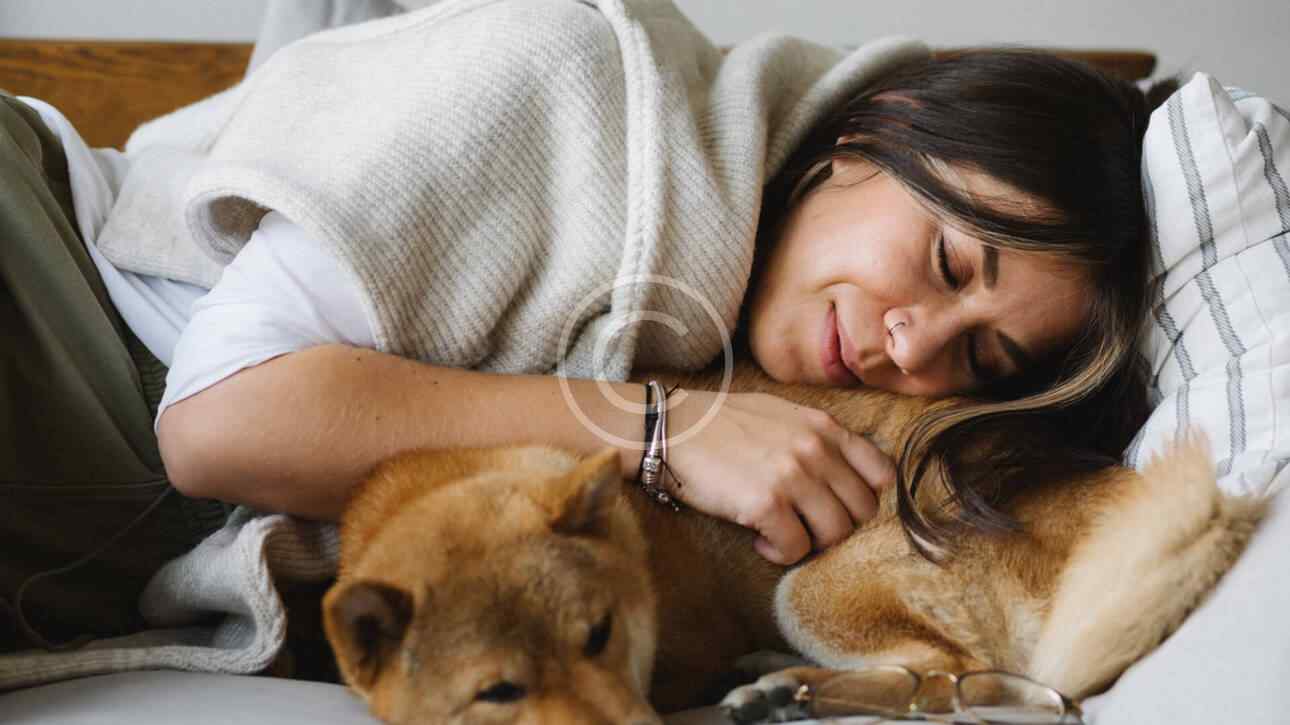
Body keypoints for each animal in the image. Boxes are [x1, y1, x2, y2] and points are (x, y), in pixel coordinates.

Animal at [319, 358, 1264, 724]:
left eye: (600, 634)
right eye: (498, 691)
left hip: (809, 588)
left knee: (948, 680)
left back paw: (786, 689)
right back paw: (777, 685)